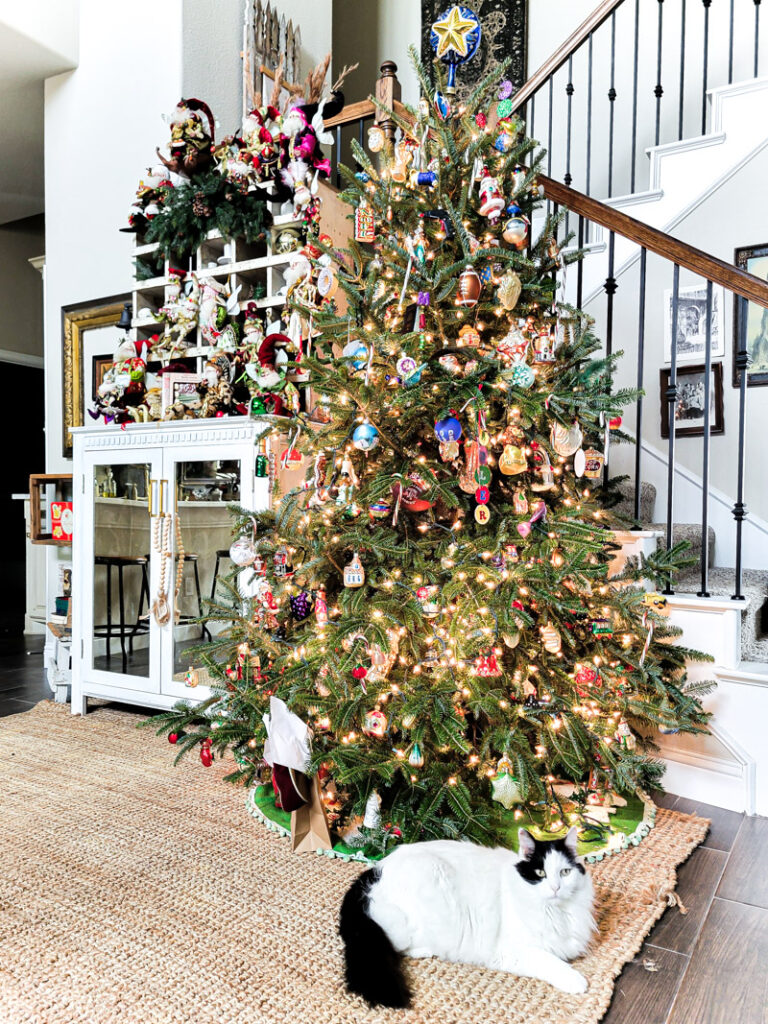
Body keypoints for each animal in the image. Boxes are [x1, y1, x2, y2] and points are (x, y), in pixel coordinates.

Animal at [339, 823, 598, 1007]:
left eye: (565, 873)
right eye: (540, 873)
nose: (555, 888)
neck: (556, 913)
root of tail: (376, 869)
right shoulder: (512, 951)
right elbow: (551, 961)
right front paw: (577, 981)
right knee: (398, 945)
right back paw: (426, 951)